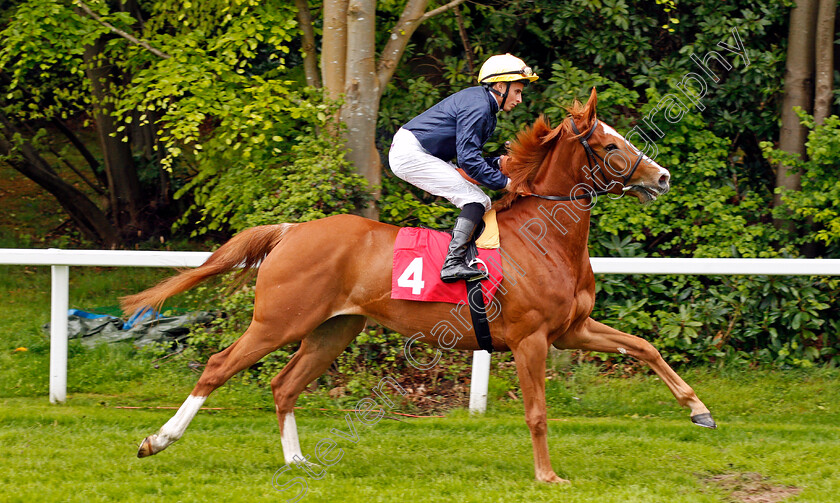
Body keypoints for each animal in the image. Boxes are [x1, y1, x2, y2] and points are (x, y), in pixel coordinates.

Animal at [123, 89, 716, 484]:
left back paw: (297, 461)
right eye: (611, 145)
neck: (544, 237)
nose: (661, 177)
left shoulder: (572, 329)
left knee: (284, 385)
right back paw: (159, 440)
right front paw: (548, 477)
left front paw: (699, 411)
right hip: (279, 321)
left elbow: (644, 346)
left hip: (333, 330)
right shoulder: (531, 340)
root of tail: (292, 230)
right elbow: (538, 411)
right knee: (218, 366)